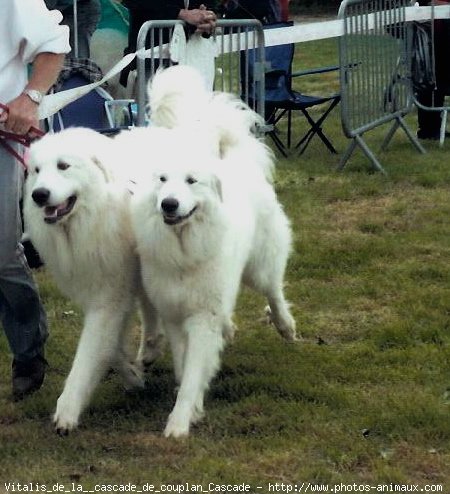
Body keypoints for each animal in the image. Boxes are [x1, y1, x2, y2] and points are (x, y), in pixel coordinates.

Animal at [23, 129, 163, 434]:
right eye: (36, 171)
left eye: (63, 166)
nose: (39, 195)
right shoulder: (102, 294)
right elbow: (110, 347)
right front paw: (133, 377)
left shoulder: (109, 298)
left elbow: (89, 353)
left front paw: (67, 410)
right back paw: (150, 347)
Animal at [128, 64, 298, 436]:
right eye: (162, 180)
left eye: (191, 181)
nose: (169, 204)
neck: (183, 250)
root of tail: (235, 160)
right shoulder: (174, 316)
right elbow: (183, 365)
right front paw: (192, 406)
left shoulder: (201, 317)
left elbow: (193, 372)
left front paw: (180, 421)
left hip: (259, 267)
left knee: (274, 290)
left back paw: (286, 326)